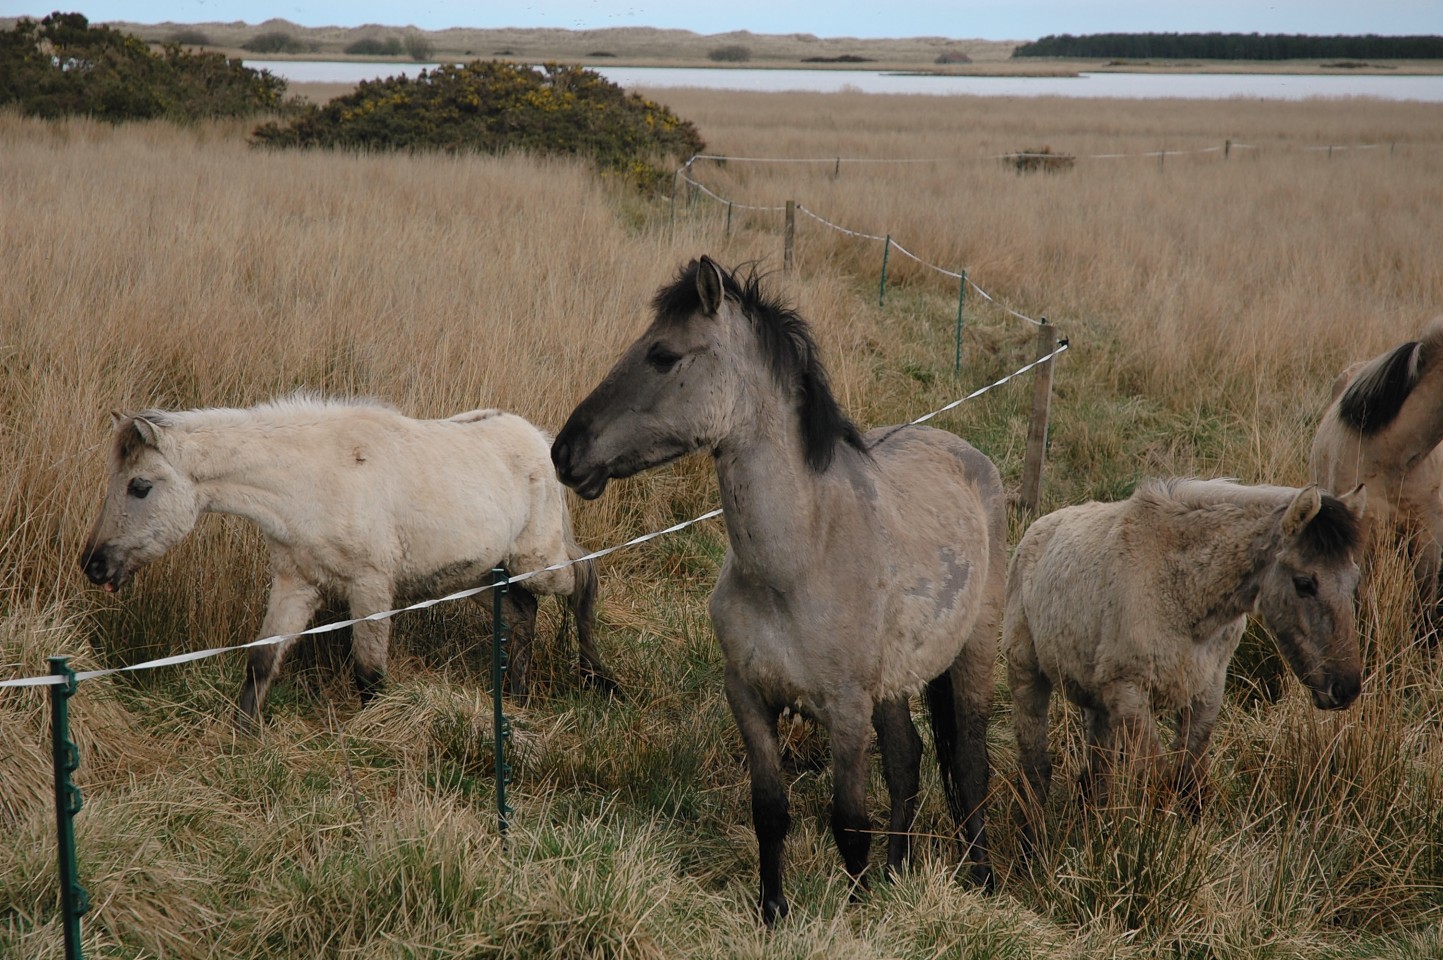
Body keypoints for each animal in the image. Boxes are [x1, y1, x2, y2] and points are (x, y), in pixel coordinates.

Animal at [80, 392, 608, 721]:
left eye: (140, 486)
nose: (94, 564)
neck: (311, 477)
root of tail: (540, 441)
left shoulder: (370, 588)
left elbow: (369, 676)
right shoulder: (296, 584)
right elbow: (261, 660)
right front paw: (242, 737)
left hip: (537, 562)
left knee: (583, 579)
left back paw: (597, 677)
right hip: (476, 576)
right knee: (523, 612)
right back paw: (517, 697)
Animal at [1004, 476, 1362, 848]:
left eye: (1354, 578)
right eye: (1304, 583)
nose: (1346, 688)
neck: (1180, 588)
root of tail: (1035, 531)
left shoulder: (1206, 690)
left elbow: (1191, 781)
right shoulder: (1131, 694)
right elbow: (1159, 782)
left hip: (1097, 702)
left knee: (1098, 772)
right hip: (1027, 676)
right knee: (1035, 764)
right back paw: (1030, 838)